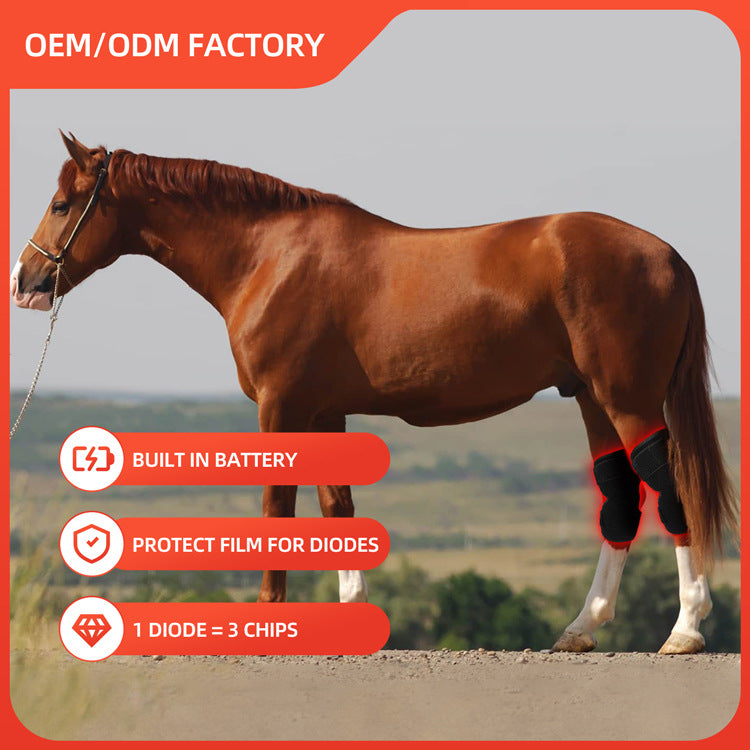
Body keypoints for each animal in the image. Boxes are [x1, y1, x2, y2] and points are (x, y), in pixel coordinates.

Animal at [11, 132, 738, 655]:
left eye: (62, 204)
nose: (24, 281)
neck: (268, 256)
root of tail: (668, 255)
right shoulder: (325, 409)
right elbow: (338, 510)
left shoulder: (280, 406)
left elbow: (278, 507)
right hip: (590, 398)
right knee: (620, 499)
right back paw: (581, 628)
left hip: (628, 399)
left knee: (668, 486)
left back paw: (685, 630)